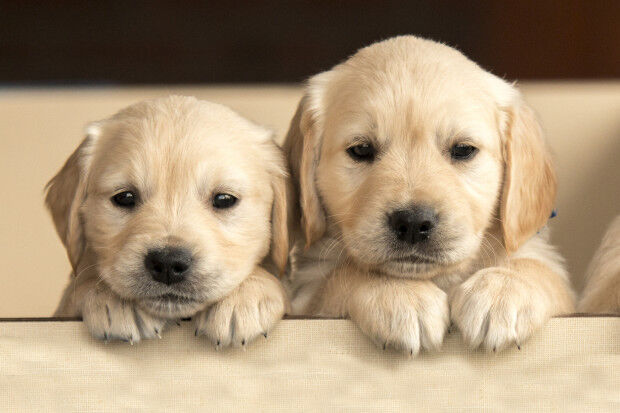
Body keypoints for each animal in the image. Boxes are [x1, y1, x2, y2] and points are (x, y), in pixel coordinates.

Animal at [286, 35, 576, 352]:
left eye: (463, 149)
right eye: (361, 149)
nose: (413, 223)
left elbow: (538, 269)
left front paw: (502, 291)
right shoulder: (307, 290)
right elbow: (345, 275)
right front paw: (402, 295)